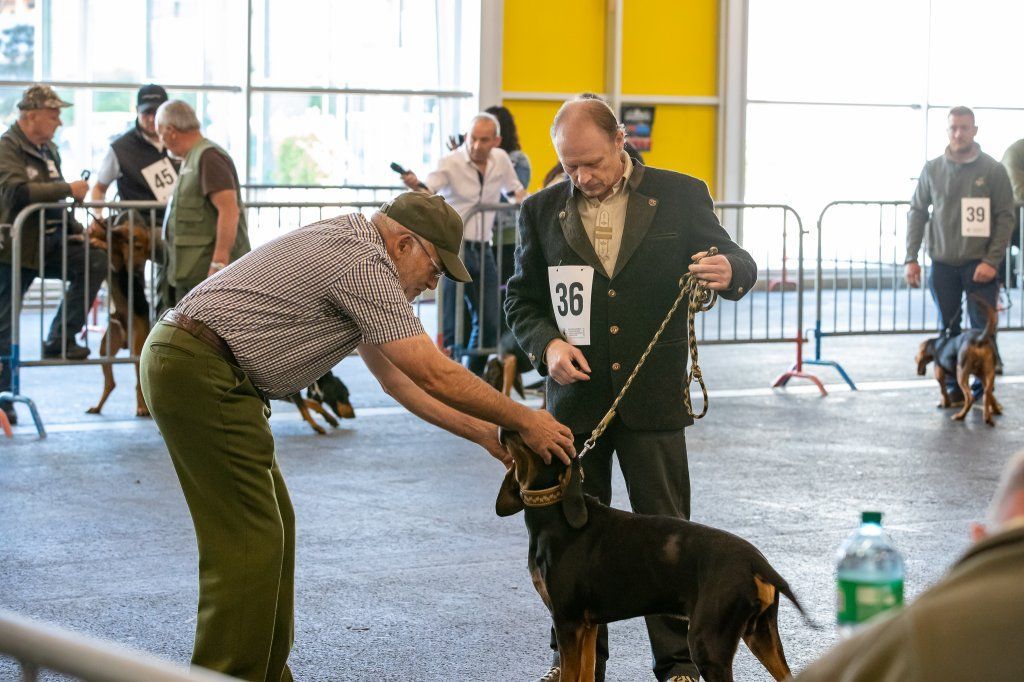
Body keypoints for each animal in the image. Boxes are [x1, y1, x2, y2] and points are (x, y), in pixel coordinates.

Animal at [495, 430, 806, 679]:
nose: (508, 424)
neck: (555, 518)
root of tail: (758, 563)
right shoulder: (588, 626)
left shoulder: (567, 621)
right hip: (761, 635)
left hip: (709, 644)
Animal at [917, 292, 1003, 421]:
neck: (936, 344)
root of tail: (979, 339)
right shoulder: (981, 377)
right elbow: (990, 396)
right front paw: (995, 408)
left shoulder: (939, 374)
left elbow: (943, 391)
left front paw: (945, 403)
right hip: (988, 373)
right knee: (987, 393)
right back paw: (989, 416)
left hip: (961, 374)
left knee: (969, 397)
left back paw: (960, 415)